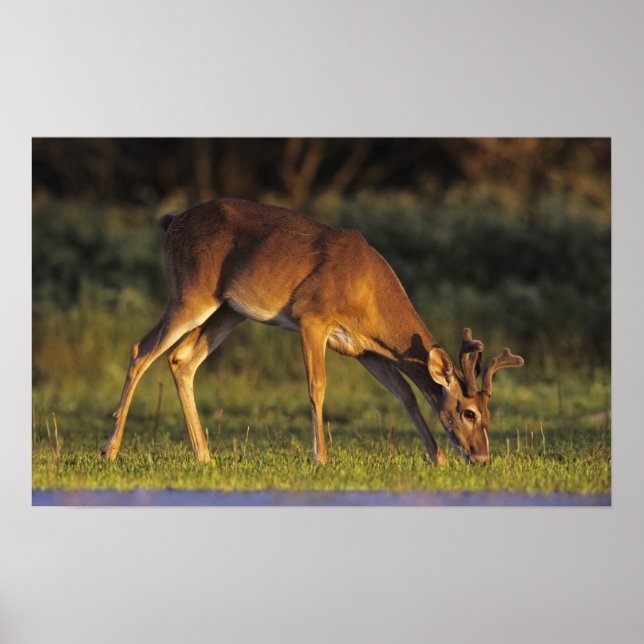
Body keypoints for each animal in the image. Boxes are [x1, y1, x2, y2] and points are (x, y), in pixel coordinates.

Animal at [102, 198, 524, 466]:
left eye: (489, 414)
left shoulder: (364, 348)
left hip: (229, 310)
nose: (482, 458)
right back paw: (110, 450)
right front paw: (321, 459)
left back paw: (204, 456)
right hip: (191, 292)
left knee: (181, 359)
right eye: (469, 413)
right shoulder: (311, 318)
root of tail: (172, 220)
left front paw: (437, 459)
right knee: (141, 350)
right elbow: (317, 387)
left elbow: (405, 394)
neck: (368, 292)